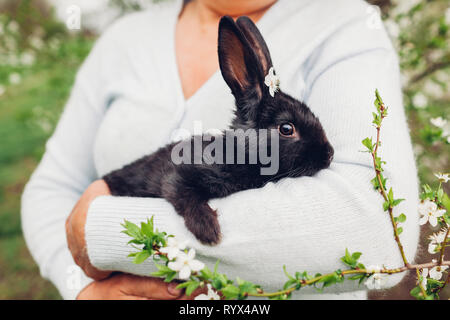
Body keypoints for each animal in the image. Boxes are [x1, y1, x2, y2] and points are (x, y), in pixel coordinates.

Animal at [103, 15, 334, 245]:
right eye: (286, 128)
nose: (329, 154)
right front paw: (208, 230)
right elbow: (182, 193)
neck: (240, 154)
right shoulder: (176, 175)